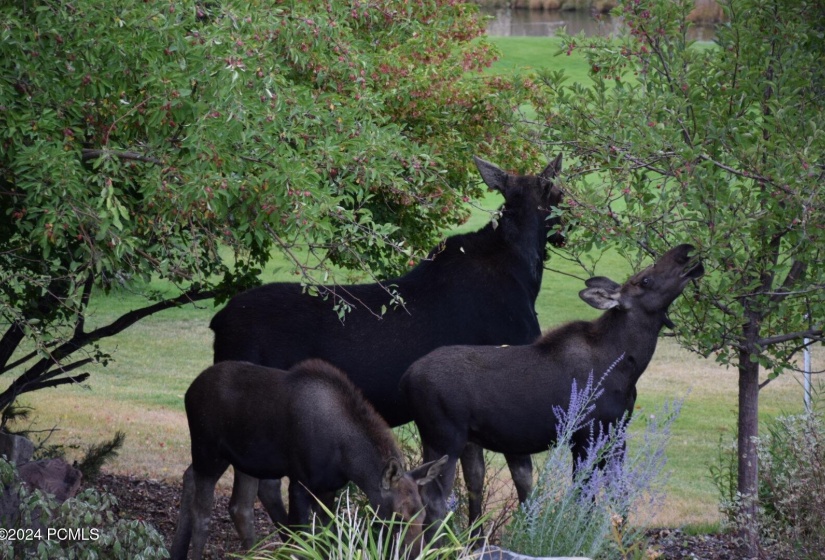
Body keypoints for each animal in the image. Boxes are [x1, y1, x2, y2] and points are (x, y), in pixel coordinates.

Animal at [170, 358, 448, 560]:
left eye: (423, 515)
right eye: (398, 517)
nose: (415, 555)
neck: (346, 460)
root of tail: (188, 391)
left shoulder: (328, 488)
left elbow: (326, 538)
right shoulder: (299, 482)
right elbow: (301, 538)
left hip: (242, 460)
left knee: (233, 503)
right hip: (207, 451)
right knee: (202, 512)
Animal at [209, 154, 564, 548]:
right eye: (559, 193)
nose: (565, 227)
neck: (525, 275)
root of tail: (218, 324)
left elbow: (476, 477)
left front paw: (473, 540)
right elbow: (521, 478)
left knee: (246, 499)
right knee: (257, 494)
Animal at [400, 243, 700, 532]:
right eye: (645, 280)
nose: (686, 251)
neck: (628, 365)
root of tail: (407, 377)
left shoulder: (616, 432)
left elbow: (619, 494)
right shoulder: (585, 434)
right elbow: (584, 497)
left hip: (462, 441)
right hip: (444, 438)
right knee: (433, 501)